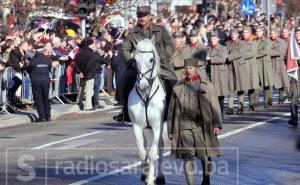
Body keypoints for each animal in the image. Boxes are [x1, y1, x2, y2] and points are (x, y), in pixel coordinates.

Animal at [127, 36, 168, 184]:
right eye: (135, 60)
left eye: (151, 59)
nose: (143, 85)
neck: (146, 95)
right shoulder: (136, 126)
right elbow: (142, 152)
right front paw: (145, 175)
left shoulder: (157, 125)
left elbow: (153, 154)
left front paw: (150, 179)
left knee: (160, 146)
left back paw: (160, 176)